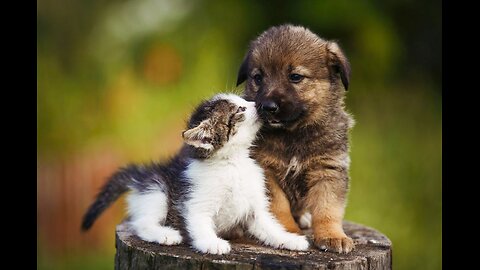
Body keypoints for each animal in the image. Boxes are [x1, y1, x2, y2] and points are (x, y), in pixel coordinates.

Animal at [80, 94, 310, 254]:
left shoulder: (254, 209)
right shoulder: (195, 202)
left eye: (244, 101)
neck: (232, 163)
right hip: (156, 191)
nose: (261, 104)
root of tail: (143, 174)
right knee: (141, 223)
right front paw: (212, 243)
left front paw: (290, 240)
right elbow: (200, 224)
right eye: (240, 109)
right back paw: (165, 234)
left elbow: (270, 226)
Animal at [237, 24, 356, 253]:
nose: (268, 107)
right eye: (258, 78)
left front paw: (332, 236)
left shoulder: (328, 170)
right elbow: (278, 207)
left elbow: (328, 208)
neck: (293, 134)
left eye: (295, 77)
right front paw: (286, 232)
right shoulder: (266, 172)